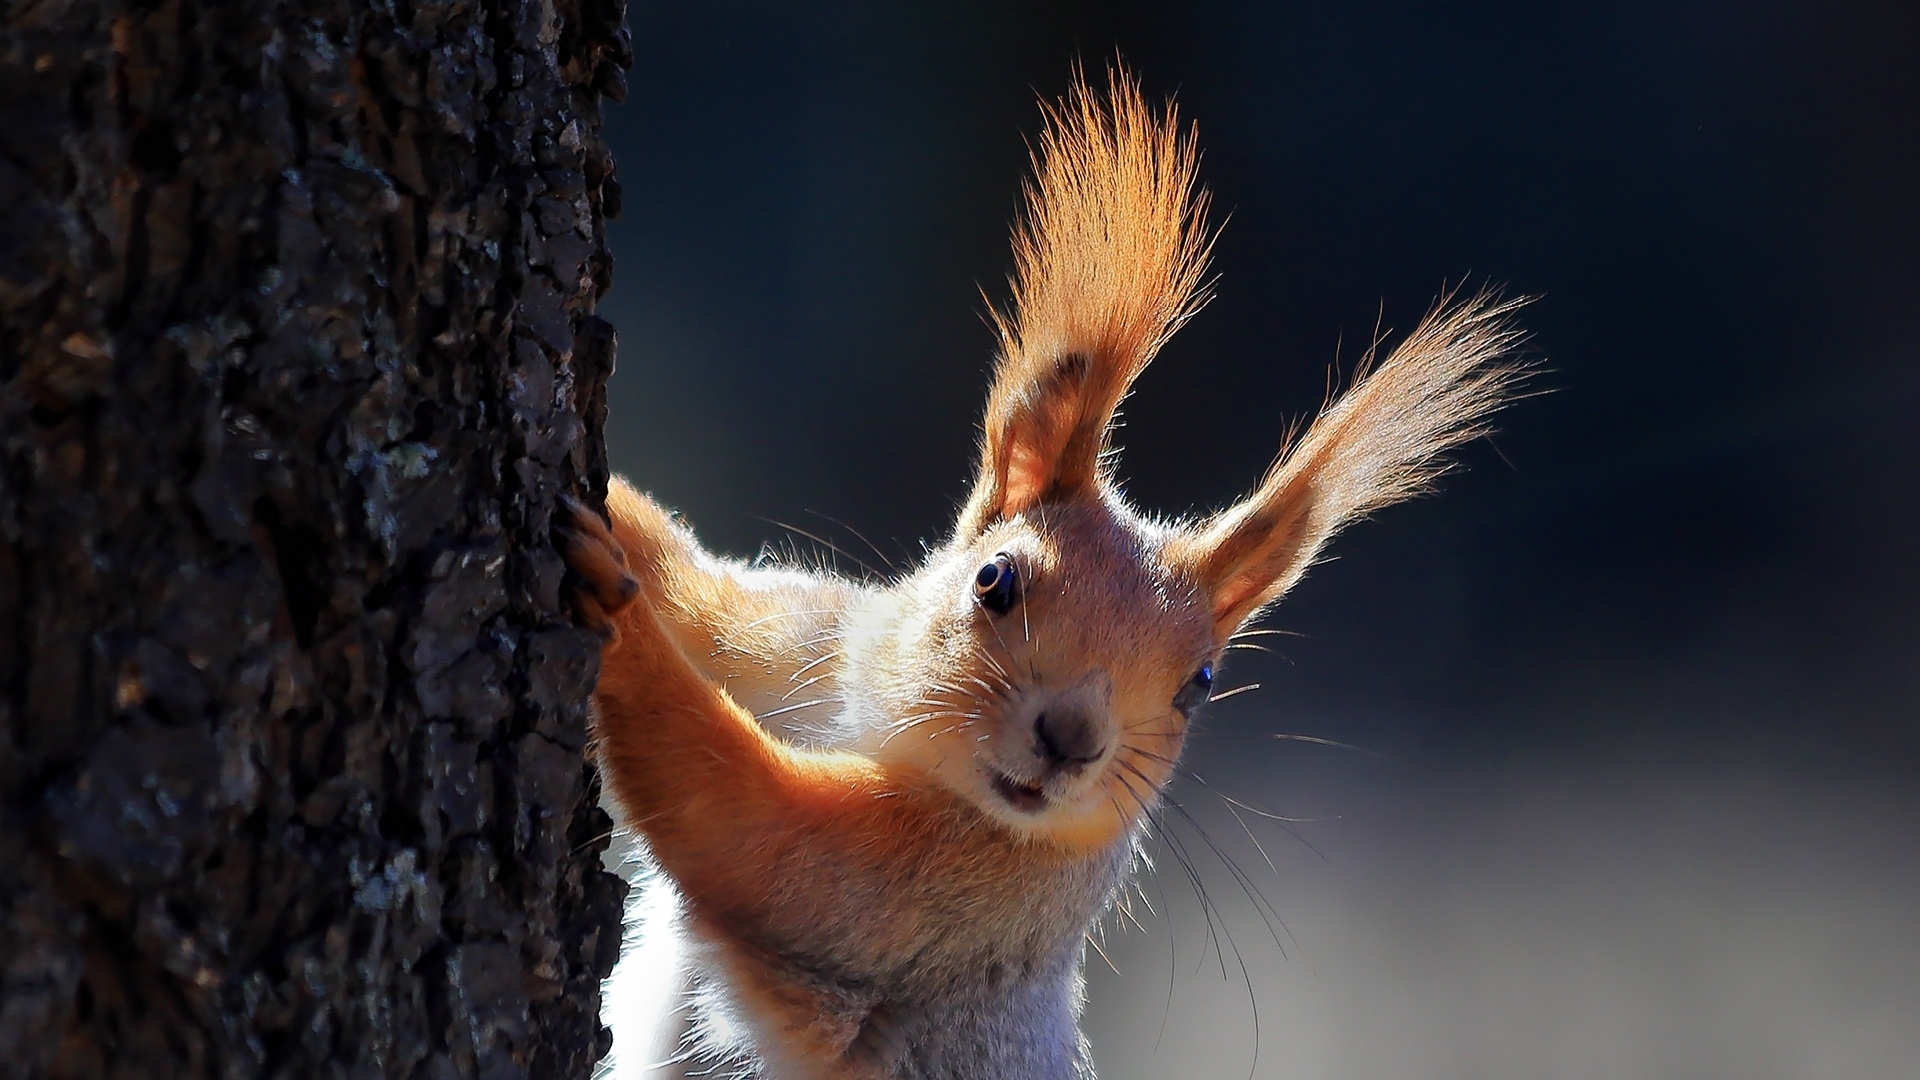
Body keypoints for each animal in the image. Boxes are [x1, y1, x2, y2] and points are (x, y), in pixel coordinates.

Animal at [560, 65, 1528, 1076]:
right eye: (994, 581)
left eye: (1200, 686)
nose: (1072, 741)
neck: (880, 724)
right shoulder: (811, 642)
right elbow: (697, 590)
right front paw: (620, 525)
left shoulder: (949, 900)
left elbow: (747, 827)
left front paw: (617, 620)